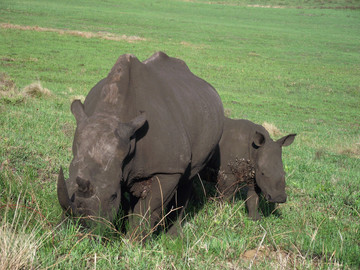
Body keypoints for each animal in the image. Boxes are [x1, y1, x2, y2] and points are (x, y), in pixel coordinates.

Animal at [57, 51, 224, 236]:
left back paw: (174, 236)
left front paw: (134, 239)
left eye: (112, 196)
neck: (110, 114)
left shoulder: (168, 169)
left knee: (189, 176)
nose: (80, 228)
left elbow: (148, 209)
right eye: (67, 184)